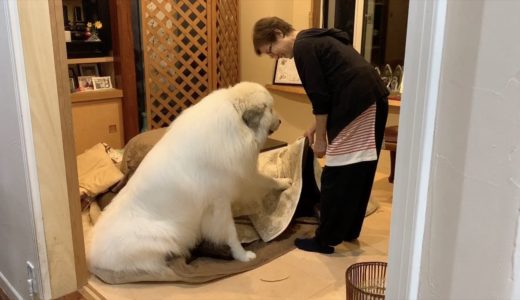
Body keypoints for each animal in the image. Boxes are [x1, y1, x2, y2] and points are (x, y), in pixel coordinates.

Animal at [88, 81, 290, 278]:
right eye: (271, 109)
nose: (281, 121)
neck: (235, 124)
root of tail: (93, 255)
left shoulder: (244, 177)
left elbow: (267, 180)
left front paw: (285, 182)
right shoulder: (220, 202)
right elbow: (231, 232)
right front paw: (242, 255)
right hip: (165, 237)